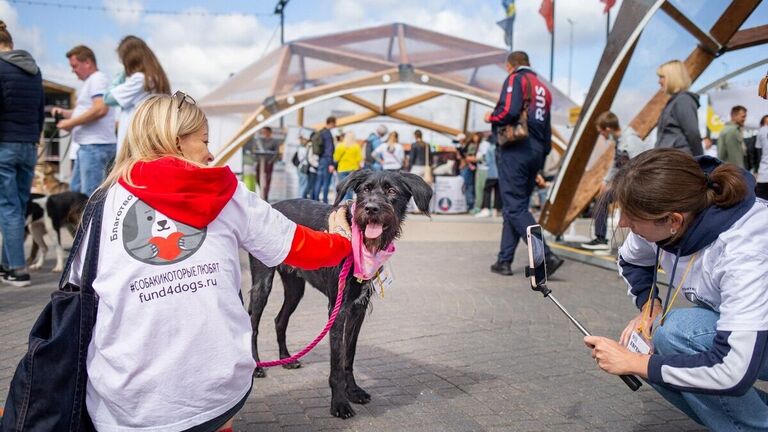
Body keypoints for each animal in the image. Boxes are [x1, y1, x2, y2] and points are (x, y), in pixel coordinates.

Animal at [250, 169, 432, 418]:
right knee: (253, 325)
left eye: (391, 190)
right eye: (365, 189)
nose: (371, 208)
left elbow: (349, 354)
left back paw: (286, 359)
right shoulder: (337, 309)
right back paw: (256, 367)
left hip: (295, 288)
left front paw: (353, 391)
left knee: (280, 320)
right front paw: (339, 403)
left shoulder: (358, 308)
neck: (359, 240)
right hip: (262, 285)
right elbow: (337, 360)